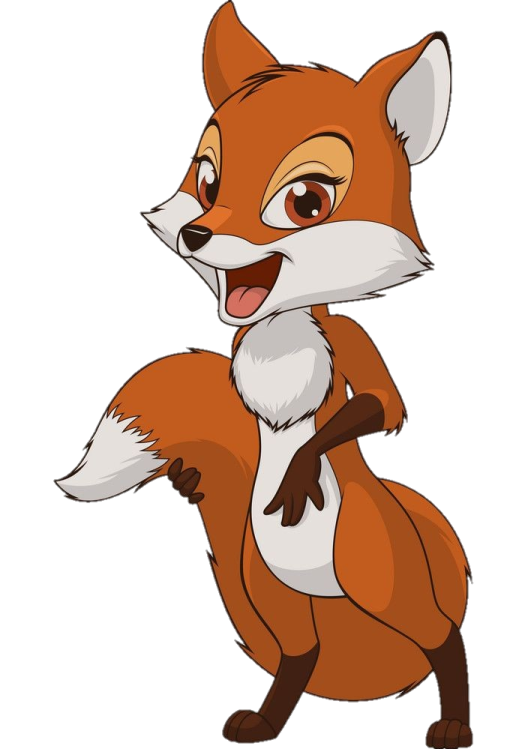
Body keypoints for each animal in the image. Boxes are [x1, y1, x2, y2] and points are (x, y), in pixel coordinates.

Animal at [57, 4, 472, 747]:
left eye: (305, 200)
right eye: (207, 181)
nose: (196, 234)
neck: (281, 332)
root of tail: (317, 586)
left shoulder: (353, 347)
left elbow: (378, 405)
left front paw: (301, 466)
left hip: (376, 574)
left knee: (440, 633)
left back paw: (453, 723)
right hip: (269, 587)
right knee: (299, 652)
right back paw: (266, 720)